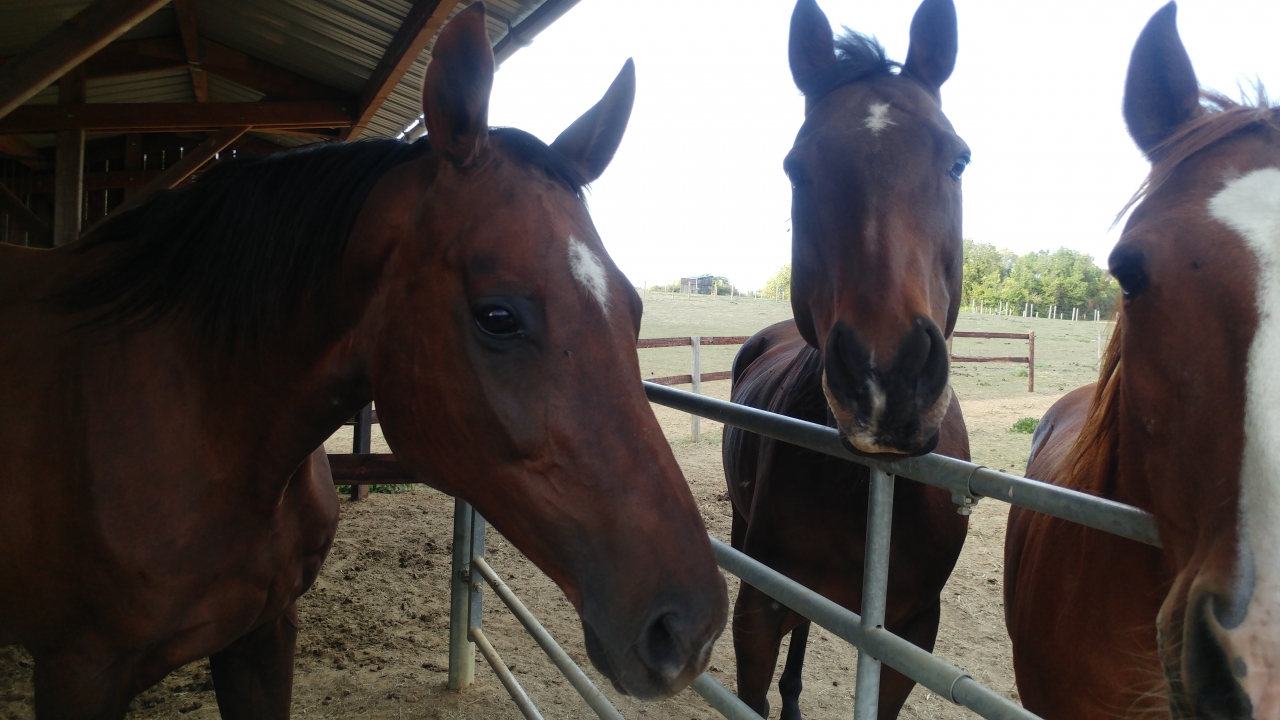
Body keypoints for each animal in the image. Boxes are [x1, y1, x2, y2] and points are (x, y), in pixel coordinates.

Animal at [0, 5, 727, 717]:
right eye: (498, 316)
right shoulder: (81, 673)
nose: (689, 629)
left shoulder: (264, 632)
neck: (204, 419)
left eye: (633, 309)